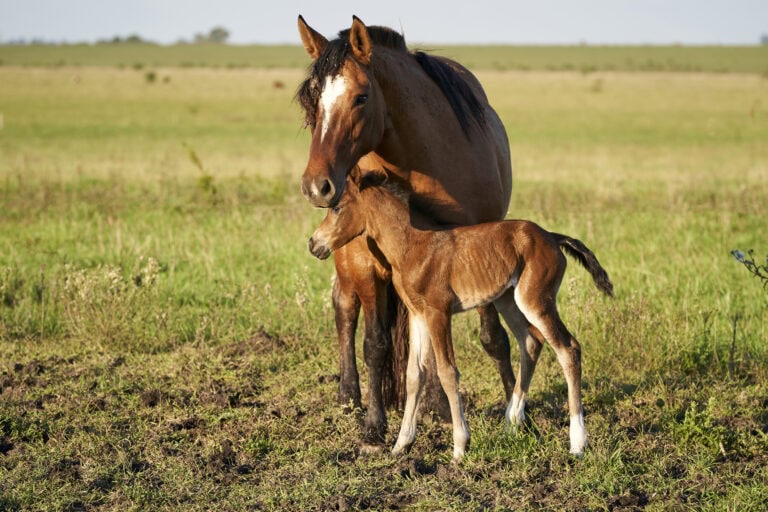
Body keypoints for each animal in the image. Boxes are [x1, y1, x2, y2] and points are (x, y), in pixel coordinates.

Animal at [296, 15, 514, 447]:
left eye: (361, 98)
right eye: (311, 101)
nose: (317, 187)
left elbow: (490, 339)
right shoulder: (367, 264)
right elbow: (375, 344)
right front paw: (374, 426)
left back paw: (434, 404)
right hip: (346, 257)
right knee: (344, 307)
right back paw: (348, 396)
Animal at [308, 170, 614, 461]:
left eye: (337, 208)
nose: (313, 244)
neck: (413, 245)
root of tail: (552, 236)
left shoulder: (438, 313)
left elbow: (447, 371)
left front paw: (459, 446)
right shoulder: (417, 314)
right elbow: (414, 374)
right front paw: (401, 445)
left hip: (536, 300)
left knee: (568, 348)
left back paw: (577, 443)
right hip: (508, 300)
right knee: (531, 342)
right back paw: (511, 422)